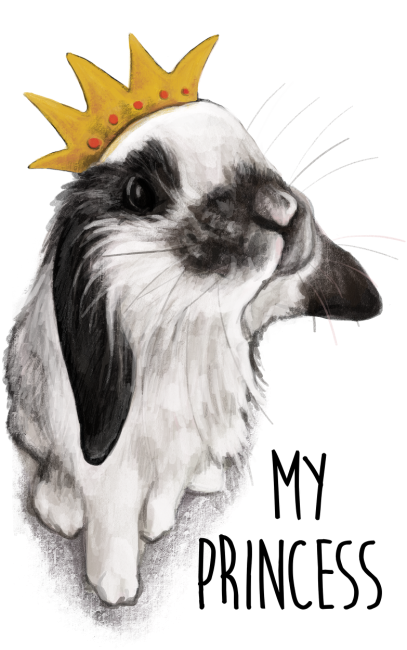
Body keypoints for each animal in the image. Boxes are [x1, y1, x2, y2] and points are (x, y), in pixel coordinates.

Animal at [5, 99, 380, 606]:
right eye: (140, 193)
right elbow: (112, 522)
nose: (282, 209)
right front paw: (114, 590)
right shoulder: (112, 470)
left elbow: (165, 489)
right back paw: (60, 511)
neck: (191, 324)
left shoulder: (184, 442)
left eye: (256, 152)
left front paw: (157, 524)